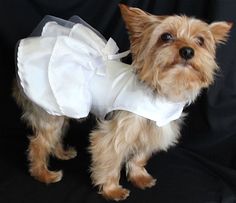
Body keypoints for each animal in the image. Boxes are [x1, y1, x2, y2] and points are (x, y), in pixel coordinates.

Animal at [12, 3, 230, 202]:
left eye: (200, 41)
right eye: (166, 37)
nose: (187, 51)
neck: (159, 92)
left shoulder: (151, 129)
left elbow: (139, 157)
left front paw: (139, 178)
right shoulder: (115, 134)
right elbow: (110, 162)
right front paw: (112, 190)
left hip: (63, 109)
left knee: (54, 135)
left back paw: (61, 153)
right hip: (52, 110)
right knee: (39, 143)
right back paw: (43, 174)